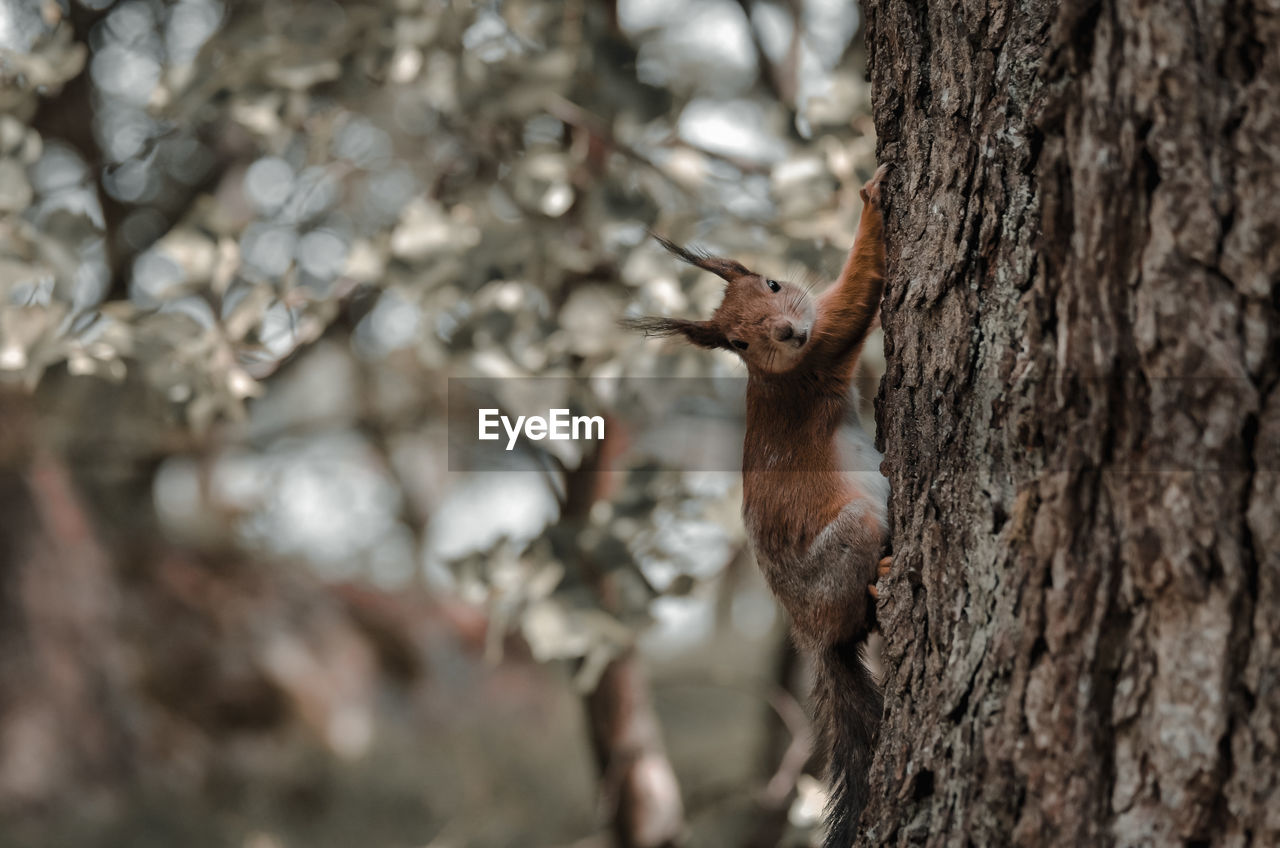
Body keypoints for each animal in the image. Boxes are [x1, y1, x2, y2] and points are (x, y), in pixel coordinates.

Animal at [627, 163, 890, 845]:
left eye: (773, 282)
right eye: (737, 343)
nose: (788, 331)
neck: (771, 373)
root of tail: (813, 635)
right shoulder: (824, 346)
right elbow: (859, 290)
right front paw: (873, 196)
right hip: (849, 540)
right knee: (861, 611)